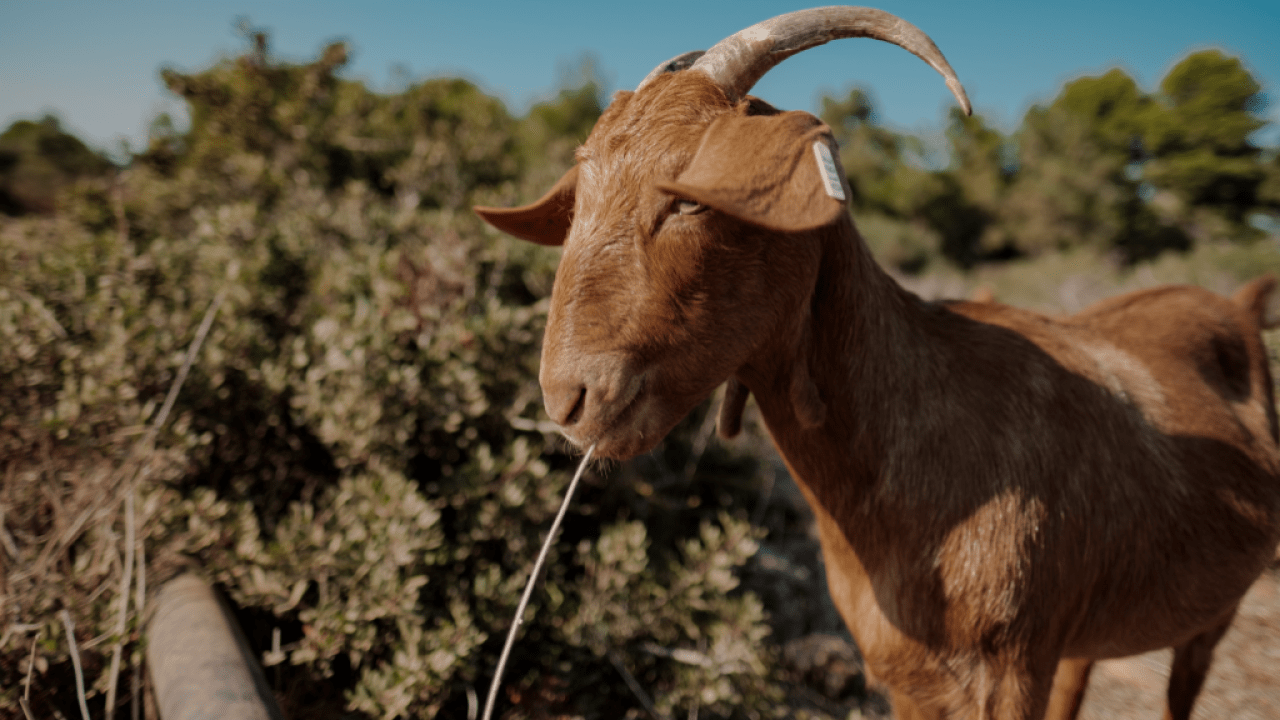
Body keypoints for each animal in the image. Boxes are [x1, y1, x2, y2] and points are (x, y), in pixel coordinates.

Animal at [475, 7, 1280, 719]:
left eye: (689, 199)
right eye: (578, 198)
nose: (569, 398)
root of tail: (1241, 303)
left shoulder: (1014, 668)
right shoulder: (906, 676)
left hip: (1213, 614)